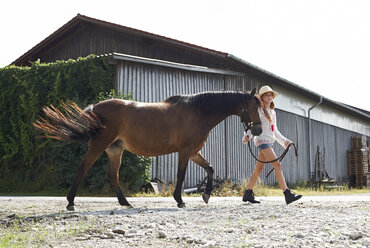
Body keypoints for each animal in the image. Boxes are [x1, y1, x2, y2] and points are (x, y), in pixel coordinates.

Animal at [33, 88, 262, 210]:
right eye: (254, 107)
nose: (258, 129)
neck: (197, 112)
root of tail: (95, 108)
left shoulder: (194, 152)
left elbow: (210, 168)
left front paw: (206, 195)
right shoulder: (185, 151)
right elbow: (180, 175)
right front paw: (180, 200)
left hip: (114, 150)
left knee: (113, 175)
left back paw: (125, 202)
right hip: (98, 145)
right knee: (83, 169)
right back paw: (71, 202)